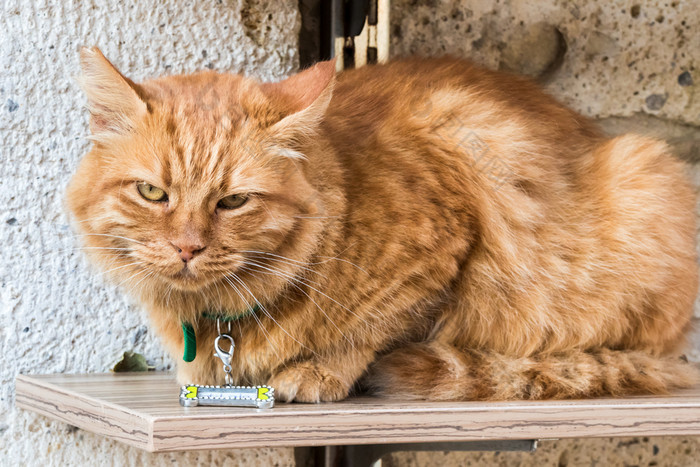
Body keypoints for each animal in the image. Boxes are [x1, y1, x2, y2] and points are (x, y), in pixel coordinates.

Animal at [67, 48, 700, 406]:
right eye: (153, 193)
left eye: (234, 201)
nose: (187, 248)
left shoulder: (446, 238)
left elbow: (372, 329)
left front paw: (322, 369)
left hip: (645, 175)